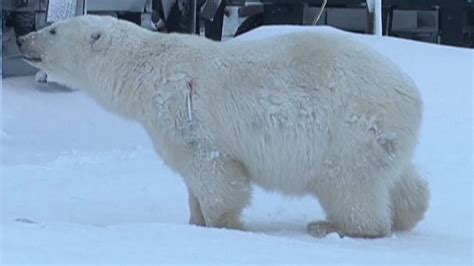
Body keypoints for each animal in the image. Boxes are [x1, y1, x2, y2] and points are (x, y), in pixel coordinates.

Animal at [17, 15, 430, 239]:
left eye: (52, 30)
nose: (22, 38)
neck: (147, 71)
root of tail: (411, 94)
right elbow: (191, 181)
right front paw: (194, 220)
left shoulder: (187, 113)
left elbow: (215, 174)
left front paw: (225, 224)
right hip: (380, 136)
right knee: (401, 179)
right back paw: (408, 212)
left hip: (350, 128)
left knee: (348, 185)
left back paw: (332, 226)